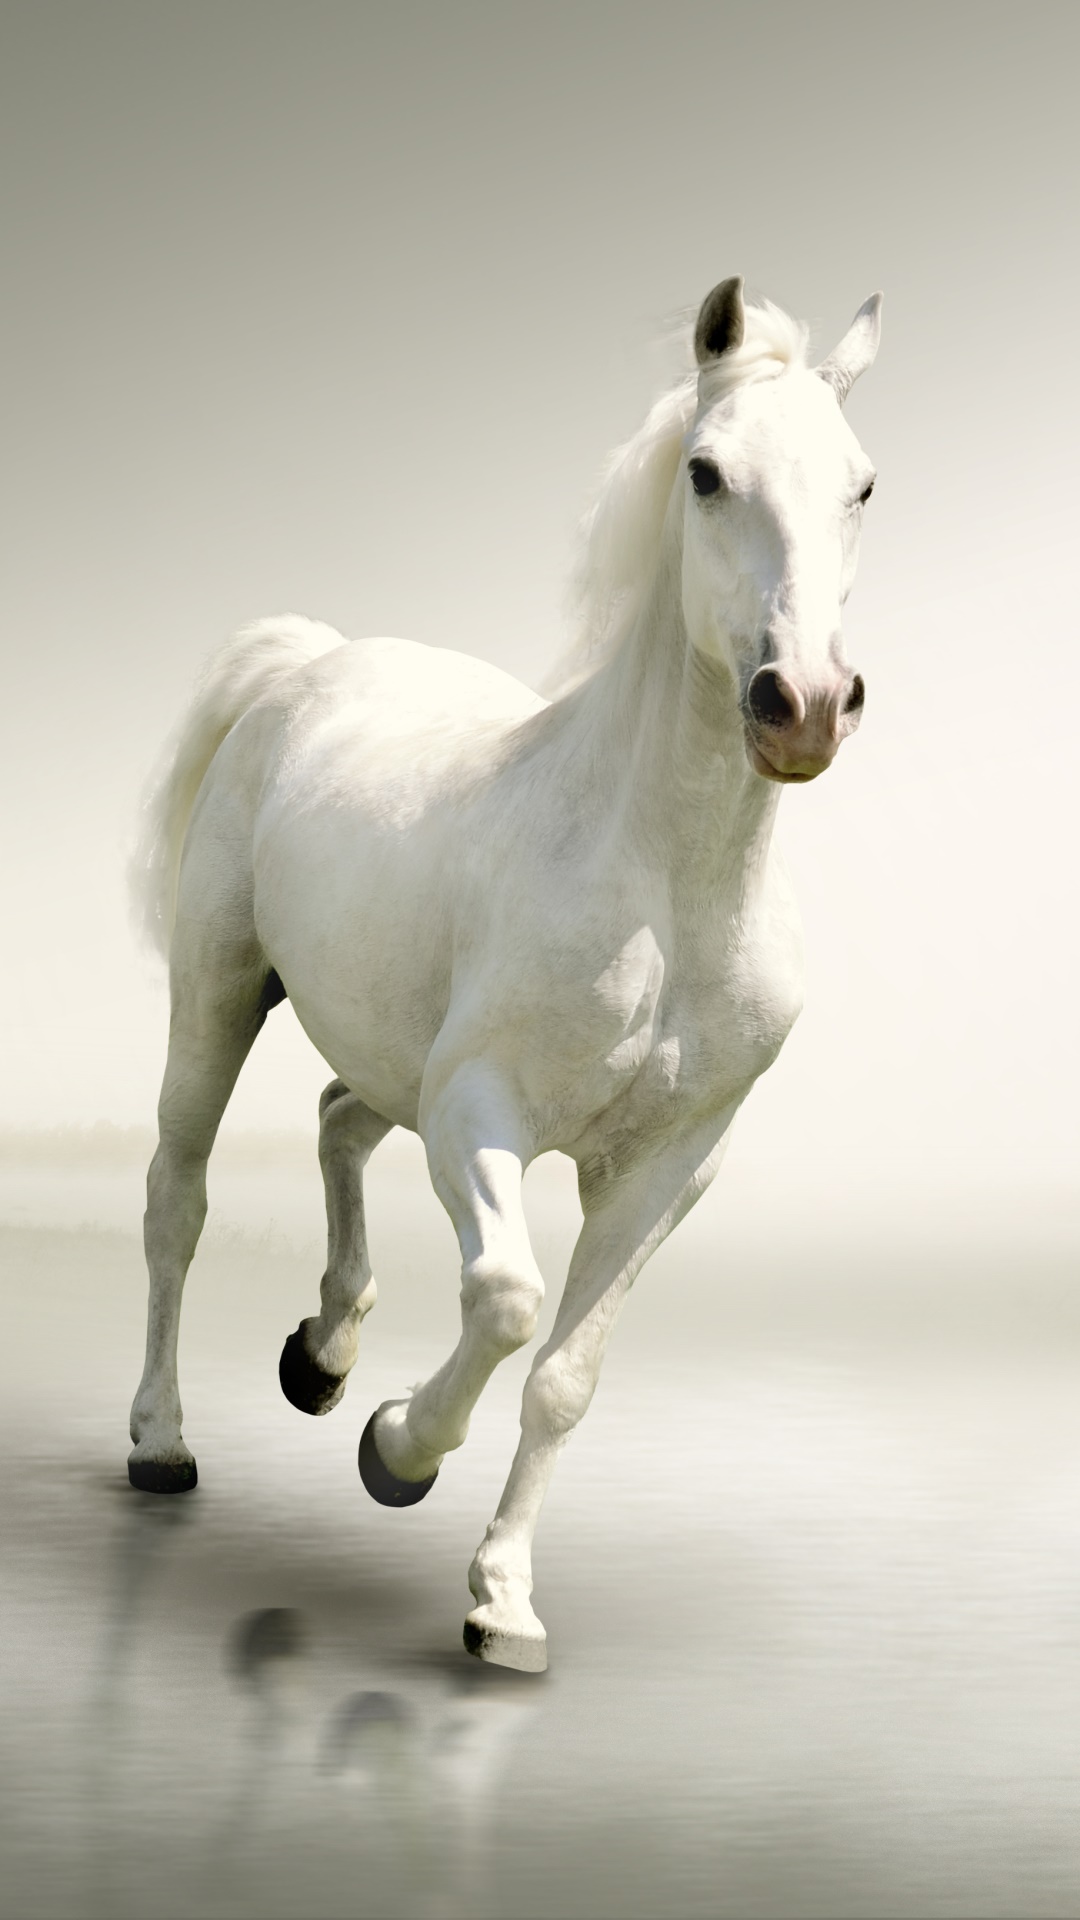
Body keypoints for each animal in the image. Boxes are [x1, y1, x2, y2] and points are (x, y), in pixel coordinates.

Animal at [127, 276, 882, 1673]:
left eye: (861, 483)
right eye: (706, 472)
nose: (803, 703)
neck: (664, 890)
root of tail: (311, 662)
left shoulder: (667, 1168)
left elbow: (568, 1377)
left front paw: (504, 1605)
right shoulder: (480, 1114)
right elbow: (509, 1299)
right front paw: (396, 1452)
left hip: (388, 1051)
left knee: (337, 1117)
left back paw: (322, 1354)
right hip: (218, 993)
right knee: (176, 1199)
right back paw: (163, 1440)